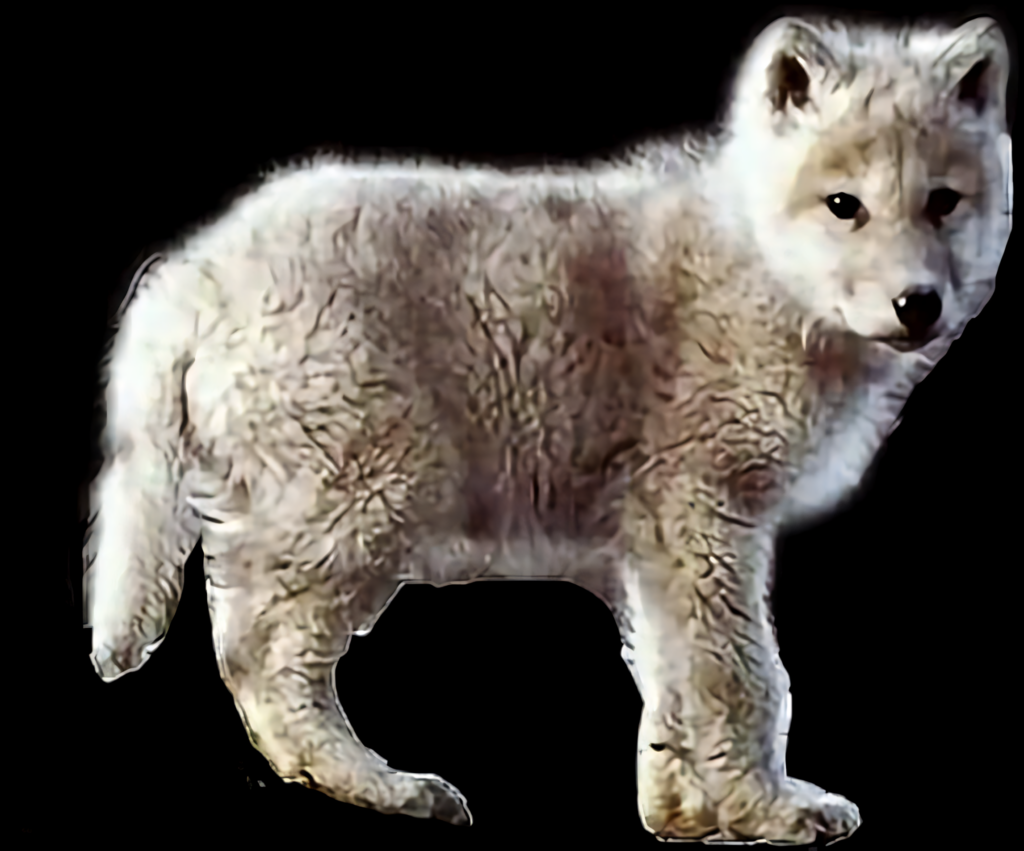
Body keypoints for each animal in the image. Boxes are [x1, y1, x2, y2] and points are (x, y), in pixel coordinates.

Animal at [82, 13, 1012, 844]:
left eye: (942, 203)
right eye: (844, 205)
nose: (919, 303)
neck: (758, 267)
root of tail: (193, 274)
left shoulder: (656, 543)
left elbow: (672, 678)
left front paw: (684, 817)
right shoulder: (708, 512)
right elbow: (743, 674)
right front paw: (768, 812)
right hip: (372, 497)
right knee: (262, 654)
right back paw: (389, 787)